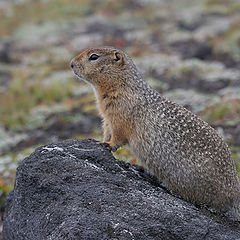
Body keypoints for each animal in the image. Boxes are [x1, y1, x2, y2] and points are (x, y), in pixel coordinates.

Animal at [70, 46, 240, 220]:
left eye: (94, 57)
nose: (71, 64)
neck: (122, 85)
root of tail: (234, 195)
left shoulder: (120, 114)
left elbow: (118, 135)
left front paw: (107, 144)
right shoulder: (107, 118)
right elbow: (107, 131)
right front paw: (98, 140)